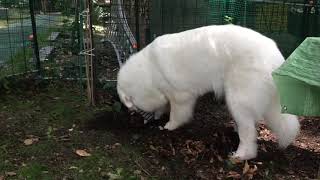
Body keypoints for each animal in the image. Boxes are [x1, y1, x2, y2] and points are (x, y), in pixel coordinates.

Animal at [117, 24, 300, 160]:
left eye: (134, 108)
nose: (143, 121)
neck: (149, 69)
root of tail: (276, 58)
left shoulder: (180, 96)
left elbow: (177, 115)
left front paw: (169, 126)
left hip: (237, 99)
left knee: (248, 132)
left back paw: (241, 155)